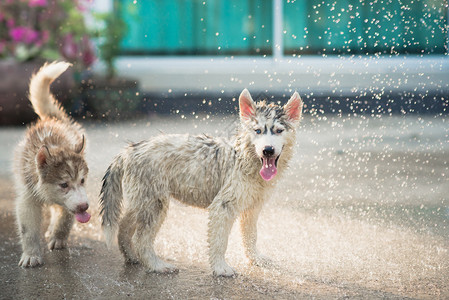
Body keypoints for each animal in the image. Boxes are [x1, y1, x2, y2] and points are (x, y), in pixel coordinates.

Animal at [13, 61, 90, 268]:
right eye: (63, 184)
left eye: (82, 181)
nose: (84, 207)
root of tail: (51, 118)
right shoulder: (27, 198)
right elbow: (28, 230)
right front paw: (31, 254)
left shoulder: (74, 200)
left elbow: (66, 217)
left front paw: (59, 237)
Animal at [98, 89, 300, 276]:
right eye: (257, 131)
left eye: (279, 131)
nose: (268, 150)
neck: (245, 158)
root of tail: (130, 150)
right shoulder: (223, 206)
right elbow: (220, 240)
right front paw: (221, 268)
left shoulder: (252, 208)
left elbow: (251, 236)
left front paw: (256, 259)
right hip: (154, 203)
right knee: (141, 239)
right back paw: (157, 266)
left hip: (142, 200)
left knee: (124, 226)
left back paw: (131, 256)